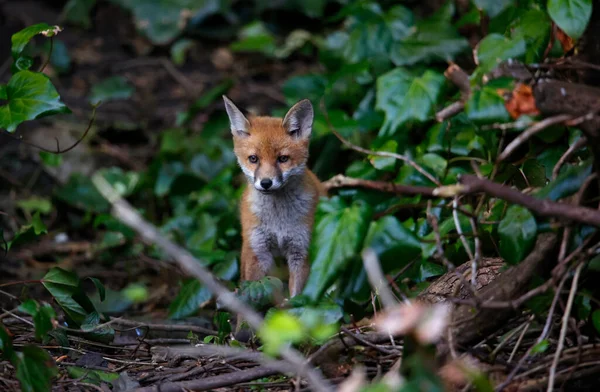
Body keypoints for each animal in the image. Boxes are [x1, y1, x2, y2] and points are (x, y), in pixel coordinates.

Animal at [223, 96, 326, 302]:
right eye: (253, 159)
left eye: (283, 159)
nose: (266, 183)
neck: (278, 221)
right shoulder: (258, 252)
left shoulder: (300, 251)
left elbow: (296, 297)